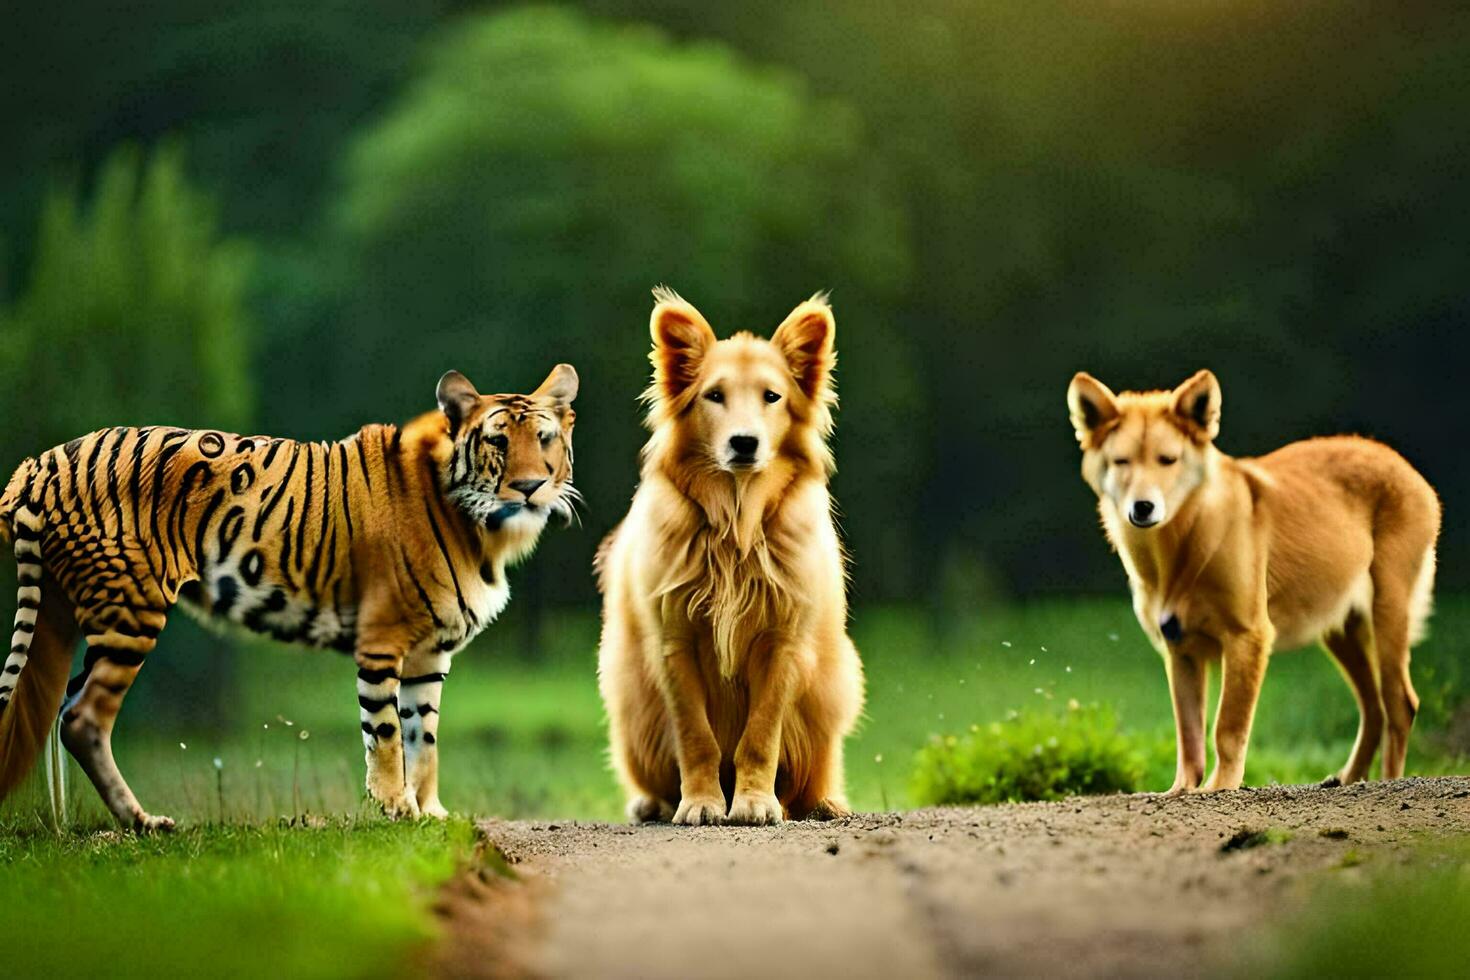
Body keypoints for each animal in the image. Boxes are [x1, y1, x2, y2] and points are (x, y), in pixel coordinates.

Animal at [0, 364, 579, 834]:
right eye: (498, 442)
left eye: (544, 437)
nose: (530, 487)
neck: (485, 532)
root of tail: (38, 462)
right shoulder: (383, 638)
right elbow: (388, 731)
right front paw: (397, 808)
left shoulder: (429, 654)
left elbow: (425, 736)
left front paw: (431, 812)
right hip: (130, 607)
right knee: (82, 718)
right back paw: (144, 823)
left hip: (62, 614)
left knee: (51, 707)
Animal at [596, 287, 864, 822]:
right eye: (714, 396)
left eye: (772, 396)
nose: (744, 443)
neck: (735, 525)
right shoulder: (674, 642)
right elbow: (695, 737)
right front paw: (701, 803)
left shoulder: (783, 642)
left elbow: (760, 735)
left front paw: (755, 801)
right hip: (631, 700)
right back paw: (651, 803)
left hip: (833, 684)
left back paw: (824, 802)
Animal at [1064, 371, 1440, 793]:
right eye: (1121, 462)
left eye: (1168, 460)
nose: (1143, 508)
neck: (1183, 546)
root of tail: (1395, 458)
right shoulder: (1180, 650)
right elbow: (1188, 737)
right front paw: (1182, 790)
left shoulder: (1248, 637)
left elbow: (1227, 729)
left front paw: (1221, 787)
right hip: (1340, 630)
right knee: (1373, 708)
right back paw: (1348, 780)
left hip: (1389, 611)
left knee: (1399, 704)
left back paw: (1388, 782)